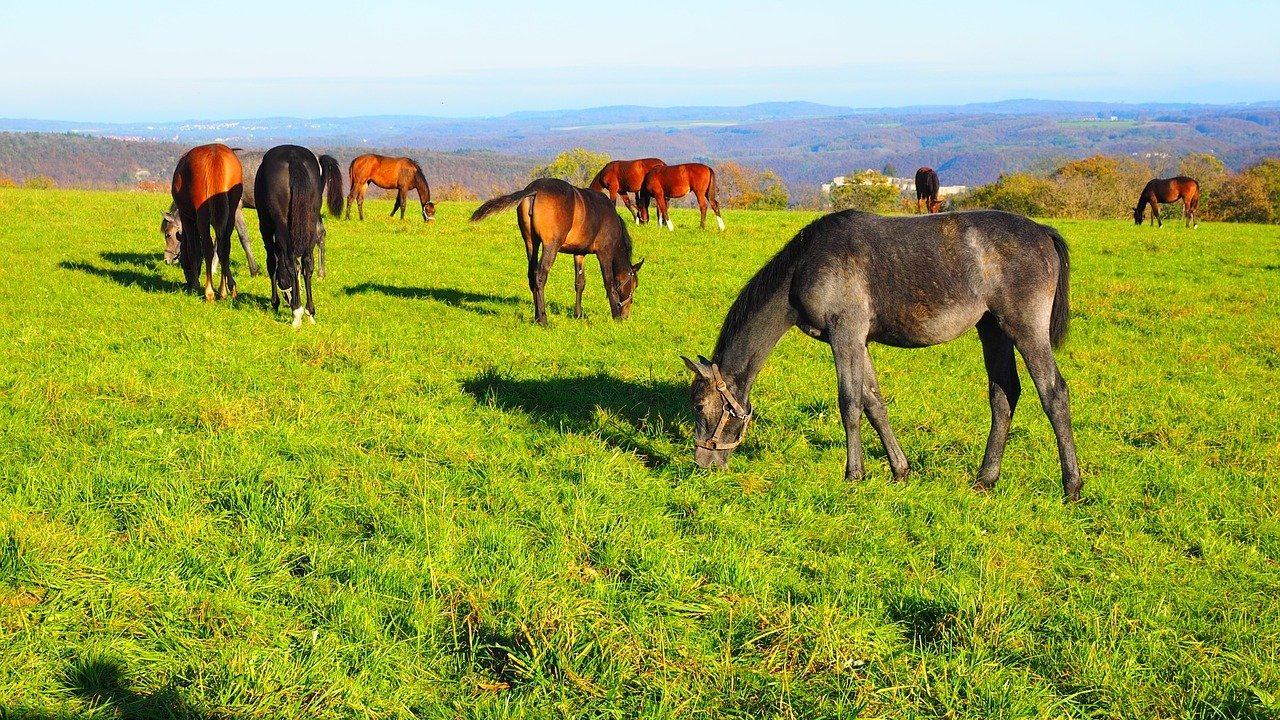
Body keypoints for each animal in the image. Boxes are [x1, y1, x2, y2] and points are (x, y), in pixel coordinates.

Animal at [167, 142, 241, 299]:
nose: (188, 280)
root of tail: (214, 155)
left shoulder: (187, 218)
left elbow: (193, 248)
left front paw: (195, 284)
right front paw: (231, 285)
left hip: (202, 218)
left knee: (208, 247)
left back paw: (209, 292)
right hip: (230, 214)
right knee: (224, 247)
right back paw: (223, 291)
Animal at [253, 143, 327, 327]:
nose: (289, 299)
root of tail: (293, 157)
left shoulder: (265, 227)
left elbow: (272, 262)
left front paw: (275, 303)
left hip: (281, 224)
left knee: (292, 262)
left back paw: (297, 313)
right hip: (310, 222)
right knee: (307, 262)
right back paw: (309, 311)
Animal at [471, 178, 645, 324]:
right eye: (634, 285)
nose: (626, 315)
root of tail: (534, 189)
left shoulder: (579, 253)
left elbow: (580, 282)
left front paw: (578, 314)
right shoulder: (605, 252)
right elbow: (609, 283)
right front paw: (615, 316)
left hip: (531, 243)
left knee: (531, 275)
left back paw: (536, 316)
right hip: (550, 246)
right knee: (540, 275)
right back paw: (543, 320)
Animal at [680, 207, 1080, 499]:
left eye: (699, 407)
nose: (702, 463)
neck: (806, 265)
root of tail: (1043, 231)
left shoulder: (845, 336)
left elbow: (850, 404)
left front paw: (854, 474)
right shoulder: (861, 342)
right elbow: (875, 403)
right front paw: (900, 470)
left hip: (1025, 330)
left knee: (1054, 394)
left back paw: (1072, 486)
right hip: (992, 330)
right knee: (1003, 395)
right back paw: (986, 478)